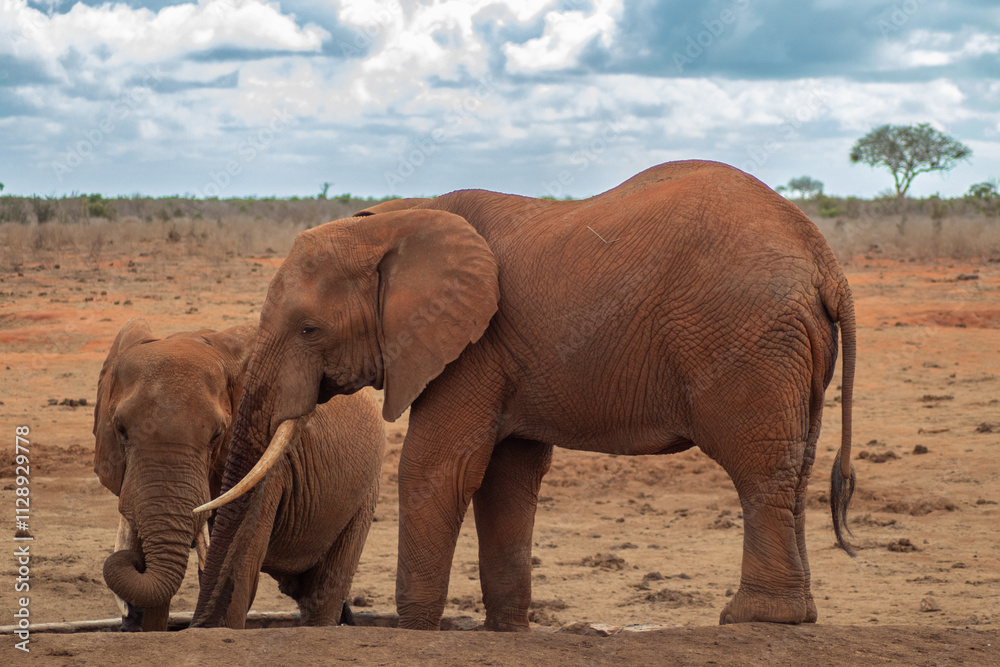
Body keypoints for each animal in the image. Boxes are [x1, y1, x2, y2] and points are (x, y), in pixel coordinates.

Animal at [93, 317, 385, 630]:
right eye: (120, 430)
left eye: (217, 435)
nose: (133, 561)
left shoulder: (268, 459)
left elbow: (241, 555)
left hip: (364, 494)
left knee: (322, 591)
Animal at [192, 160, 857, 631]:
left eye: (309, 330)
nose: (195, 624)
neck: (395, 221)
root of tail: (826, 261)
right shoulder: (504, 356)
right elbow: (507, 478)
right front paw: (507, 630)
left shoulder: (472, 346)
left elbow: (439, 468)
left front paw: (415, 630)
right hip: (787, 349)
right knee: (795, 467)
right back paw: (797, 617)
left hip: (748, 340)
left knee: (759, 467)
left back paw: (754, 619)